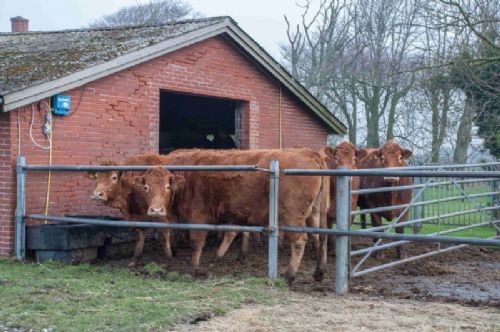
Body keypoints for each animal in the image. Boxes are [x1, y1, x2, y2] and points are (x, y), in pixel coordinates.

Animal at [135, 149, 328, 284]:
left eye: (167, 187)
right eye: (146, 187)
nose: (156, 210)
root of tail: (309, 153)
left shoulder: (198, 216)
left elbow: (197, 242)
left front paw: (194, 269)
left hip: (293, 215)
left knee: (300, 241)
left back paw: (290, 275)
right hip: (315, 213)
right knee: (321, 238)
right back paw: (319, 273)